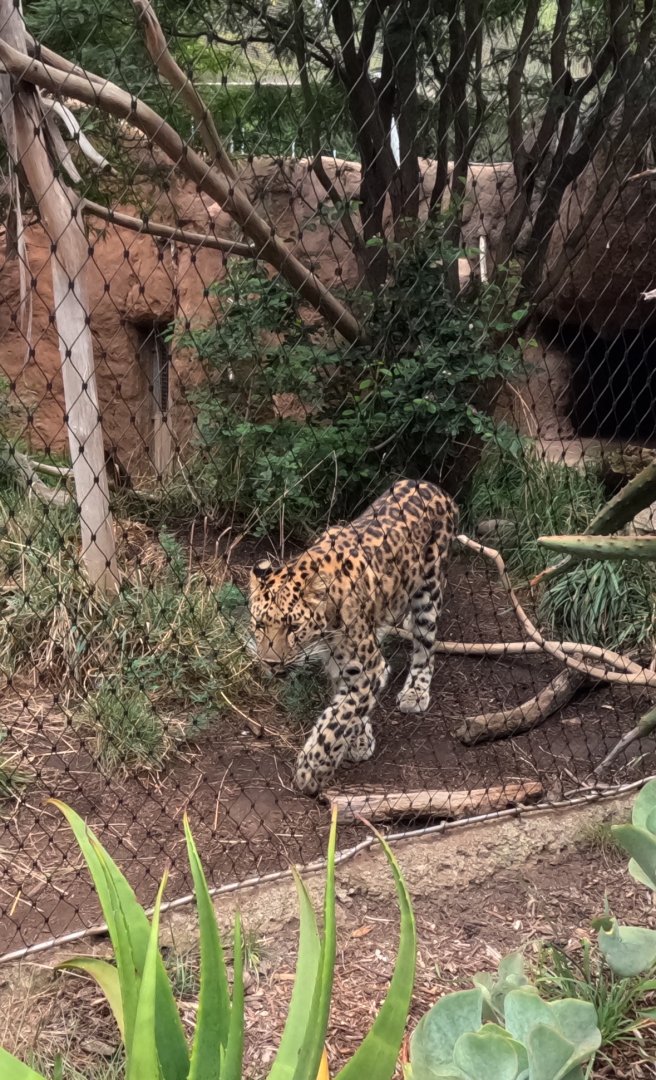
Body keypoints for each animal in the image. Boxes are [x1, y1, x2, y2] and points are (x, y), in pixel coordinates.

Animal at [248, 478, 458, 795]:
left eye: (293, 627)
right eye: (260, 624)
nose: (271, 663)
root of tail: (428, 485)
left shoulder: (369, 667)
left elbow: (339, 717)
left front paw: (312, 769)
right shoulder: (347, 667)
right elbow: (347, 705)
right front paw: (359, 738)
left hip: (429, 591)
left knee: (426, 646)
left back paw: (416, 691)